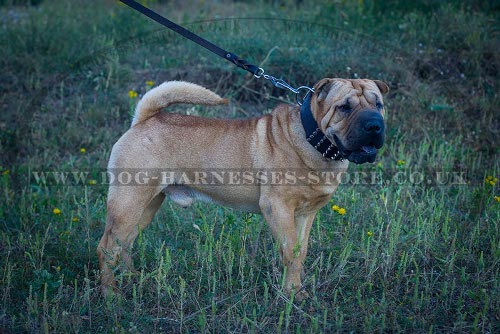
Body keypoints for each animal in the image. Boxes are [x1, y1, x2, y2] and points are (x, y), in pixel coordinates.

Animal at [96, 78, 386, 300]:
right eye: (344, 107)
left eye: (379, 104)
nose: (374, 125)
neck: (311, 137)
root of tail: (143, 120)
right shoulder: (278, 208)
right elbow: (289, 251)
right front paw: (292, 293)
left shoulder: (306, 213)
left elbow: (300, 251)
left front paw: (298, 288)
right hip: (129, 202)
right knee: (107, 246)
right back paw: (111, 294)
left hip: (147, 205)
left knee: (126, 242)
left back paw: (132, 278)